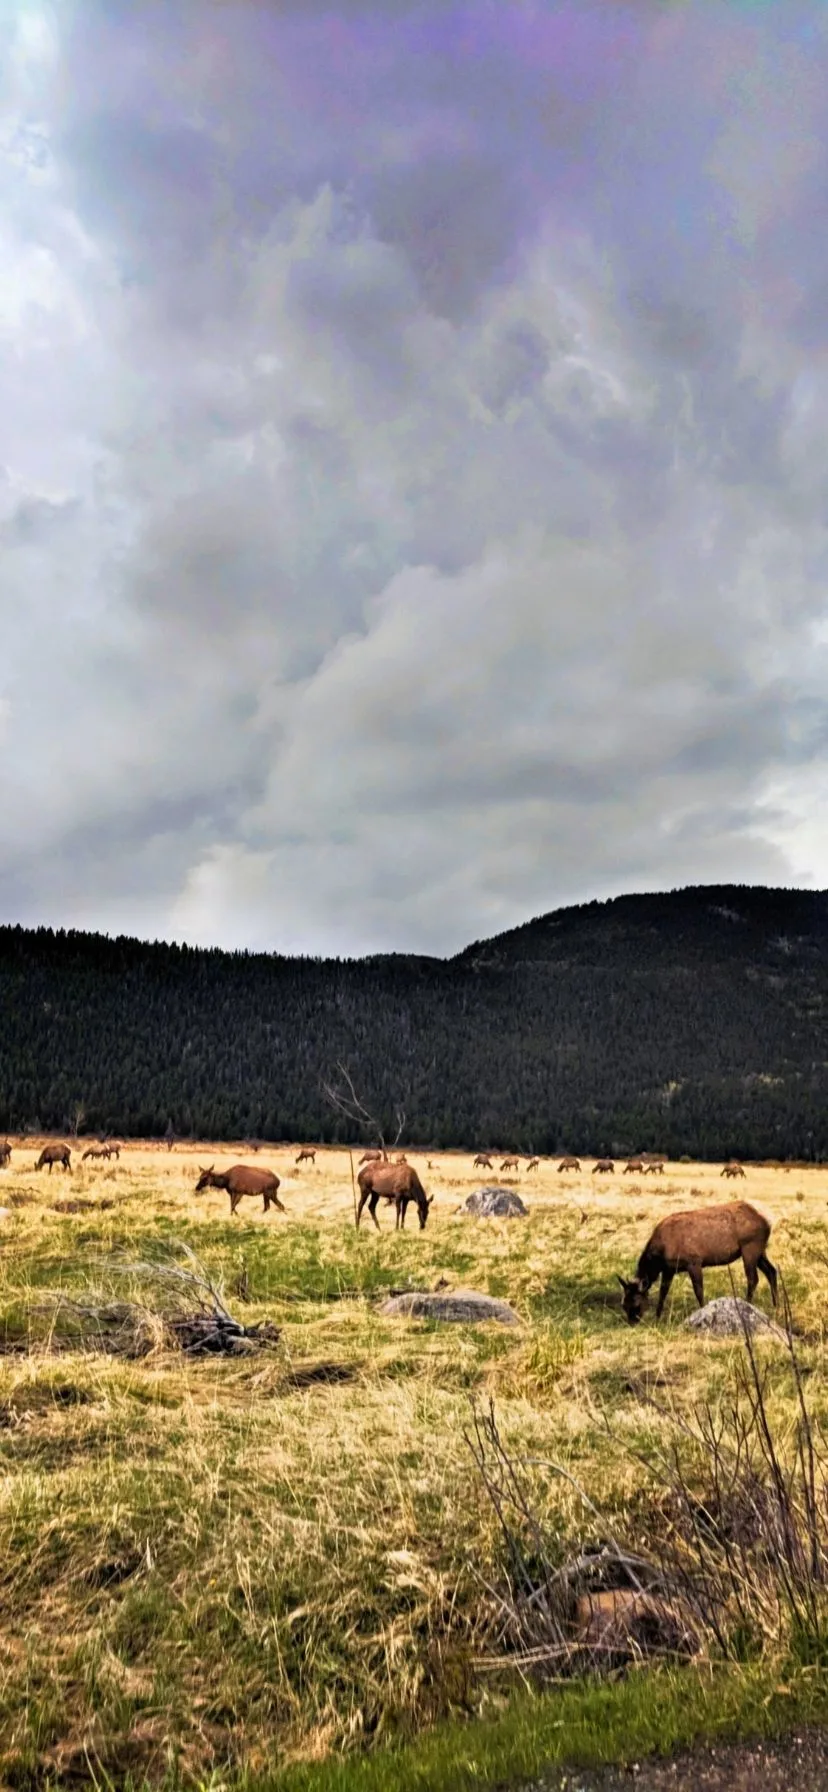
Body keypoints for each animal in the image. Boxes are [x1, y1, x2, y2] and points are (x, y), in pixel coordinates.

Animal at [616, 1197, 777, 1326]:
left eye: (636, 1304)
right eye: (623, 1304)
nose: (632, 1323)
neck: (660, 1255)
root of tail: (768, 1222)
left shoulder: (693, 1261)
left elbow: (698, 1290)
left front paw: (702, 1312)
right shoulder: (669, 1269)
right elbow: (663, 1293)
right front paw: (657, 1317)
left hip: (750, 1246)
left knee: (753, 1278)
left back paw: (748, 1303)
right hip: (760, 1250)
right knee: (772, 1271)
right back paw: (776, 1304)